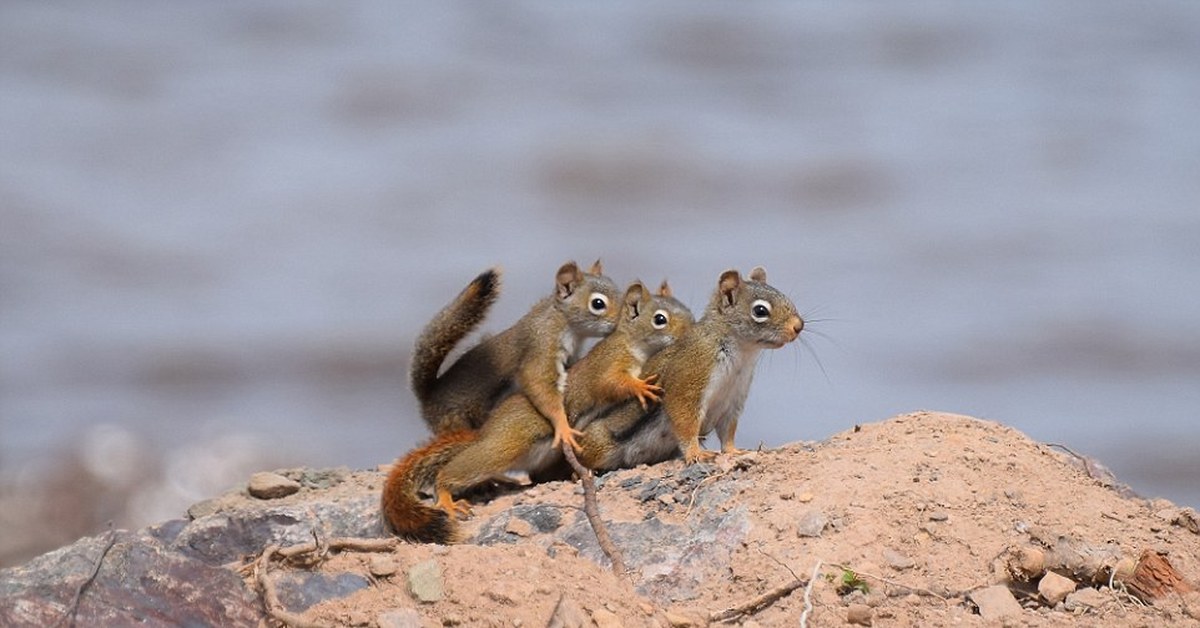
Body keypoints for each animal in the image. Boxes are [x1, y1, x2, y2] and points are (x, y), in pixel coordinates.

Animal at [379, 282, 691, 542]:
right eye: (660, 319)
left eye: (687, 310)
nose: (690, 331)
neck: (634, 343)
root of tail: (487, 431)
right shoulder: (608, 363)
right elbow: (611, 383)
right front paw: (640, 387)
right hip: (505, 444)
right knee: (458, 469)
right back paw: (445, 496)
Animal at [410, 259, 624, 446]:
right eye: (598, 304)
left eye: (618, 290)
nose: (621, 321)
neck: (564, 322)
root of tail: (428, 398)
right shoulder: (541, 345)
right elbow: (538, 383)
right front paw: (563, 427)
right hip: (456, 420)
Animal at [576, 267, 801, 475]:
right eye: (760, 311)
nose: (798, 326)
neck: (741, 356)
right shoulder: (691, 375)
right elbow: (685, 421)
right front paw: (696, 454)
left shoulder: (733, 399)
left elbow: (728, 431)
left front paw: (734, 451)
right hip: (598, 443)